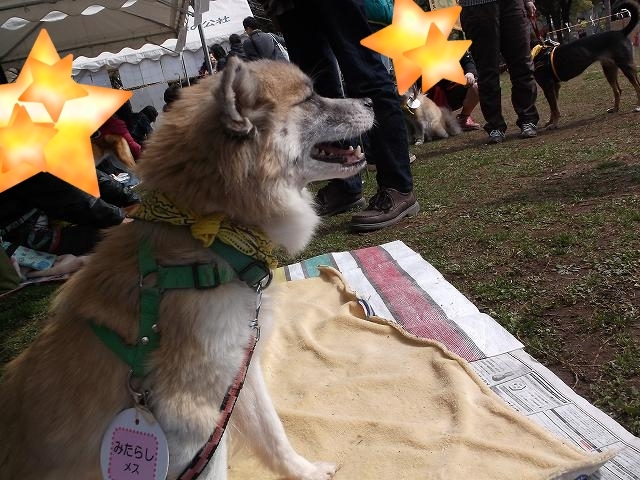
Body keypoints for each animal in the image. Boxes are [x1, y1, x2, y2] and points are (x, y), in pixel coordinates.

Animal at [0, 57, 376, 480]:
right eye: (310, 97)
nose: (370, 99)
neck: (211, 237)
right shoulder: (188, 421)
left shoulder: (234, 372)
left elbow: (271, 429)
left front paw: (304, 471)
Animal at [528, 0, 640, 128]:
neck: (538, 52)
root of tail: (621, 32)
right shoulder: (554, 86)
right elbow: (553, 107)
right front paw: (550, 122)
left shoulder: (548, 86)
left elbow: (554, 108)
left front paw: (554, 124)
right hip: (609, 69)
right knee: (618, 90)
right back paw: (615, 108)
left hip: (625, 66)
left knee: (637, 86)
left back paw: (637, 107)